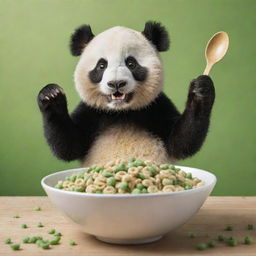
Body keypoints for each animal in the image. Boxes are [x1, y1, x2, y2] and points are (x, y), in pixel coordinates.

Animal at [37, 21, 215, 167]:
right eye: (101, 65)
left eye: (131, 63)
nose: (116, 83)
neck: (122, 112)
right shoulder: (92, 110)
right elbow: (70, 145)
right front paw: (51, 94)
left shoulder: (156, 106)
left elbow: (180, 142)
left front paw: (201, 88)